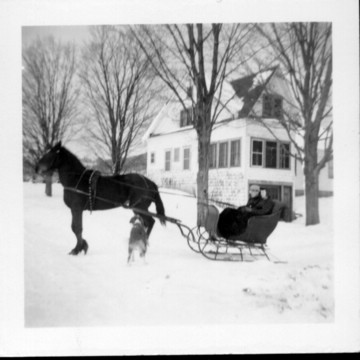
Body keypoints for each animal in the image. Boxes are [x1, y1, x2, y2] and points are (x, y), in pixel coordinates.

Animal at [36, 141, 166, 256]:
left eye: (50, 154)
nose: (36, 168)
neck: (76, 179)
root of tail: (150, 183)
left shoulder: (76, 208)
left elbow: (77, 228)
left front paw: (77, 249)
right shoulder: (75, 210)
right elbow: (75, 228)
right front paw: (82, 246)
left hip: (139, 207)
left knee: (151, 222)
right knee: (147, 223)